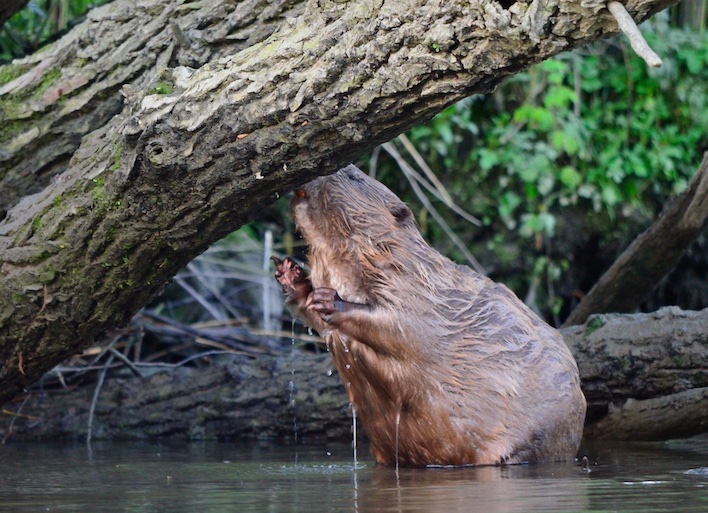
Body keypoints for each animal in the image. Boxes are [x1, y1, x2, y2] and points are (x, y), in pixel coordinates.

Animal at [272, 164, 588, 464]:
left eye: (353, 177)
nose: (316, 174)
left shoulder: (416, 288)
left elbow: (400, 326)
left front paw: (330, 299)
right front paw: (291, 275)